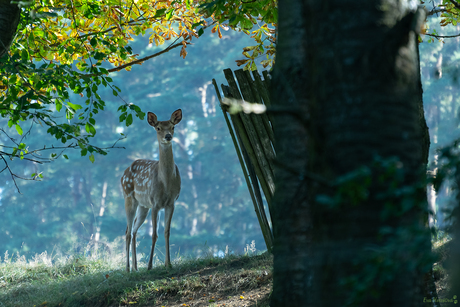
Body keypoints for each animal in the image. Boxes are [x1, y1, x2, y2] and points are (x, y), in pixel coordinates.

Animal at [121, 109, 182, 274]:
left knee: (134, 230)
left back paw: (135, 267)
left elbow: (167, 232)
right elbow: (154, 234)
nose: (168, 136)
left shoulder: (171, 203)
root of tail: (124, 173)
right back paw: (127, 268)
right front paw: (149, 266)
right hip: (128, 197)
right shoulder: (155, 203)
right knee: (127, 232)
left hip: (143, 206)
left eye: (173, 126)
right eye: (158, 128)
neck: (166, 182)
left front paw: (169, 264)